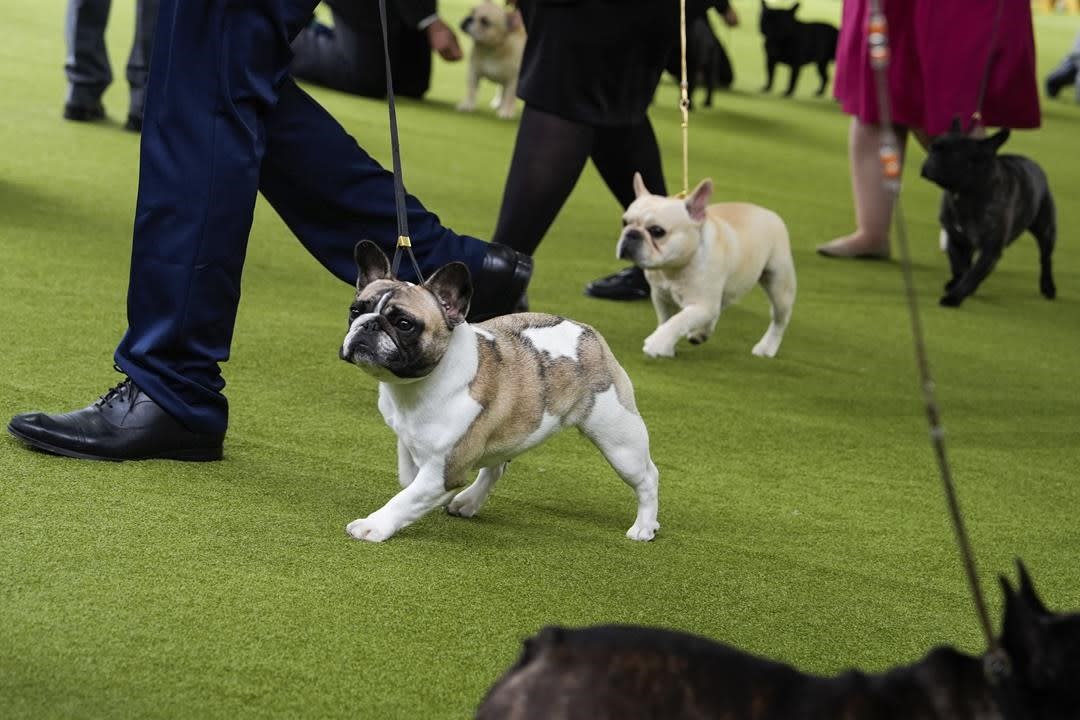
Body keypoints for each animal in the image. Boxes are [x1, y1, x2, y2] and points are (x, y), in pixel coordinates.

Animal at [920, 120, 1054, 306]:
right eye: (933, 148)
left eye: (954, 155)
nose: (929, 161)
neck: (965, 193)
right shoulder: (955, 239)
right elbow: (960, 266)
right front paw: (957, 284)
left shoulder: (990, 249)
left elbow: (973, 274)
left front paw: (955, 297)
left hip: (1046, 229)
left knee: (1045, 258)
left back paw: (1048, 287)